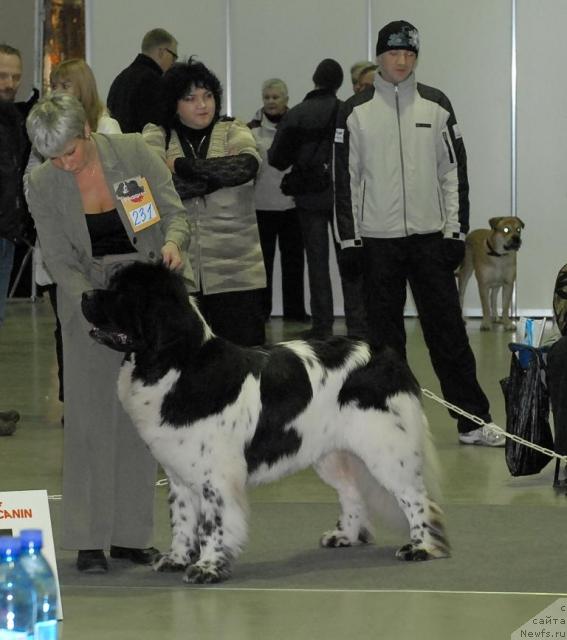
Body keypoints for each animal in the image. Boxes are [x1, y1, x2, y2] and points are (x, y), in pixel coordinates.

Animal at [81, 262, 452, 584]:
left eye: (122, 293)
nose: (85, 294)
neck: (178, 365)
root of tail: (385, 355)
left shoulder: (217, 476)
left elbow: (213, 524)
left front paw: (207, 568)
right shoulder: (180, 474)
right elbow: (183, 520)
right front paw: (176, 558)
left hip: (385, 449)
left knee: (419, 498)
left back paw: (422, 547)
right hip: (331, 453)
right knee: (351, 491)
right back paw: (345, 535)